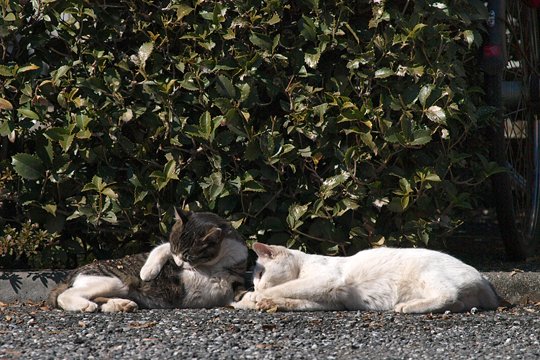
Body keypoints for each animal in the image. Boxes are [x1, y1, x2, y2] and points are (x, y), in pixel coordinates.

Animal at [48, 211, 247, 312]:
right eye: (177, 251)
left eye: (189, 256)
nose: (179, 264)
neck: (212, 263)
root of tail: (71, 274)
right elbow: (160, 249)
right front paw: (149, 270)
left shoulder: (235, 280)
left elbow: (242, 294)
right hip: (113, 281)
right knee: (64, 295)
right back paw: (85, 305)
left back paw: (119, 305)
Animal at [233, 243, 498, 314]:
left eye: (260, 274)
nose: (255, 284)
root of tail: (483, 278)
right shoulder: (330, 301)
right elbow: (294, 300)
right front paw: (260, 302)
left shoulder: (324, 281)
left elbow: (286, 288)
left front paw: (254, 297)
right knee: (458, 302)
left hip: (428, 274)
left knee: (447, 294)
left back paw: (406, 307)